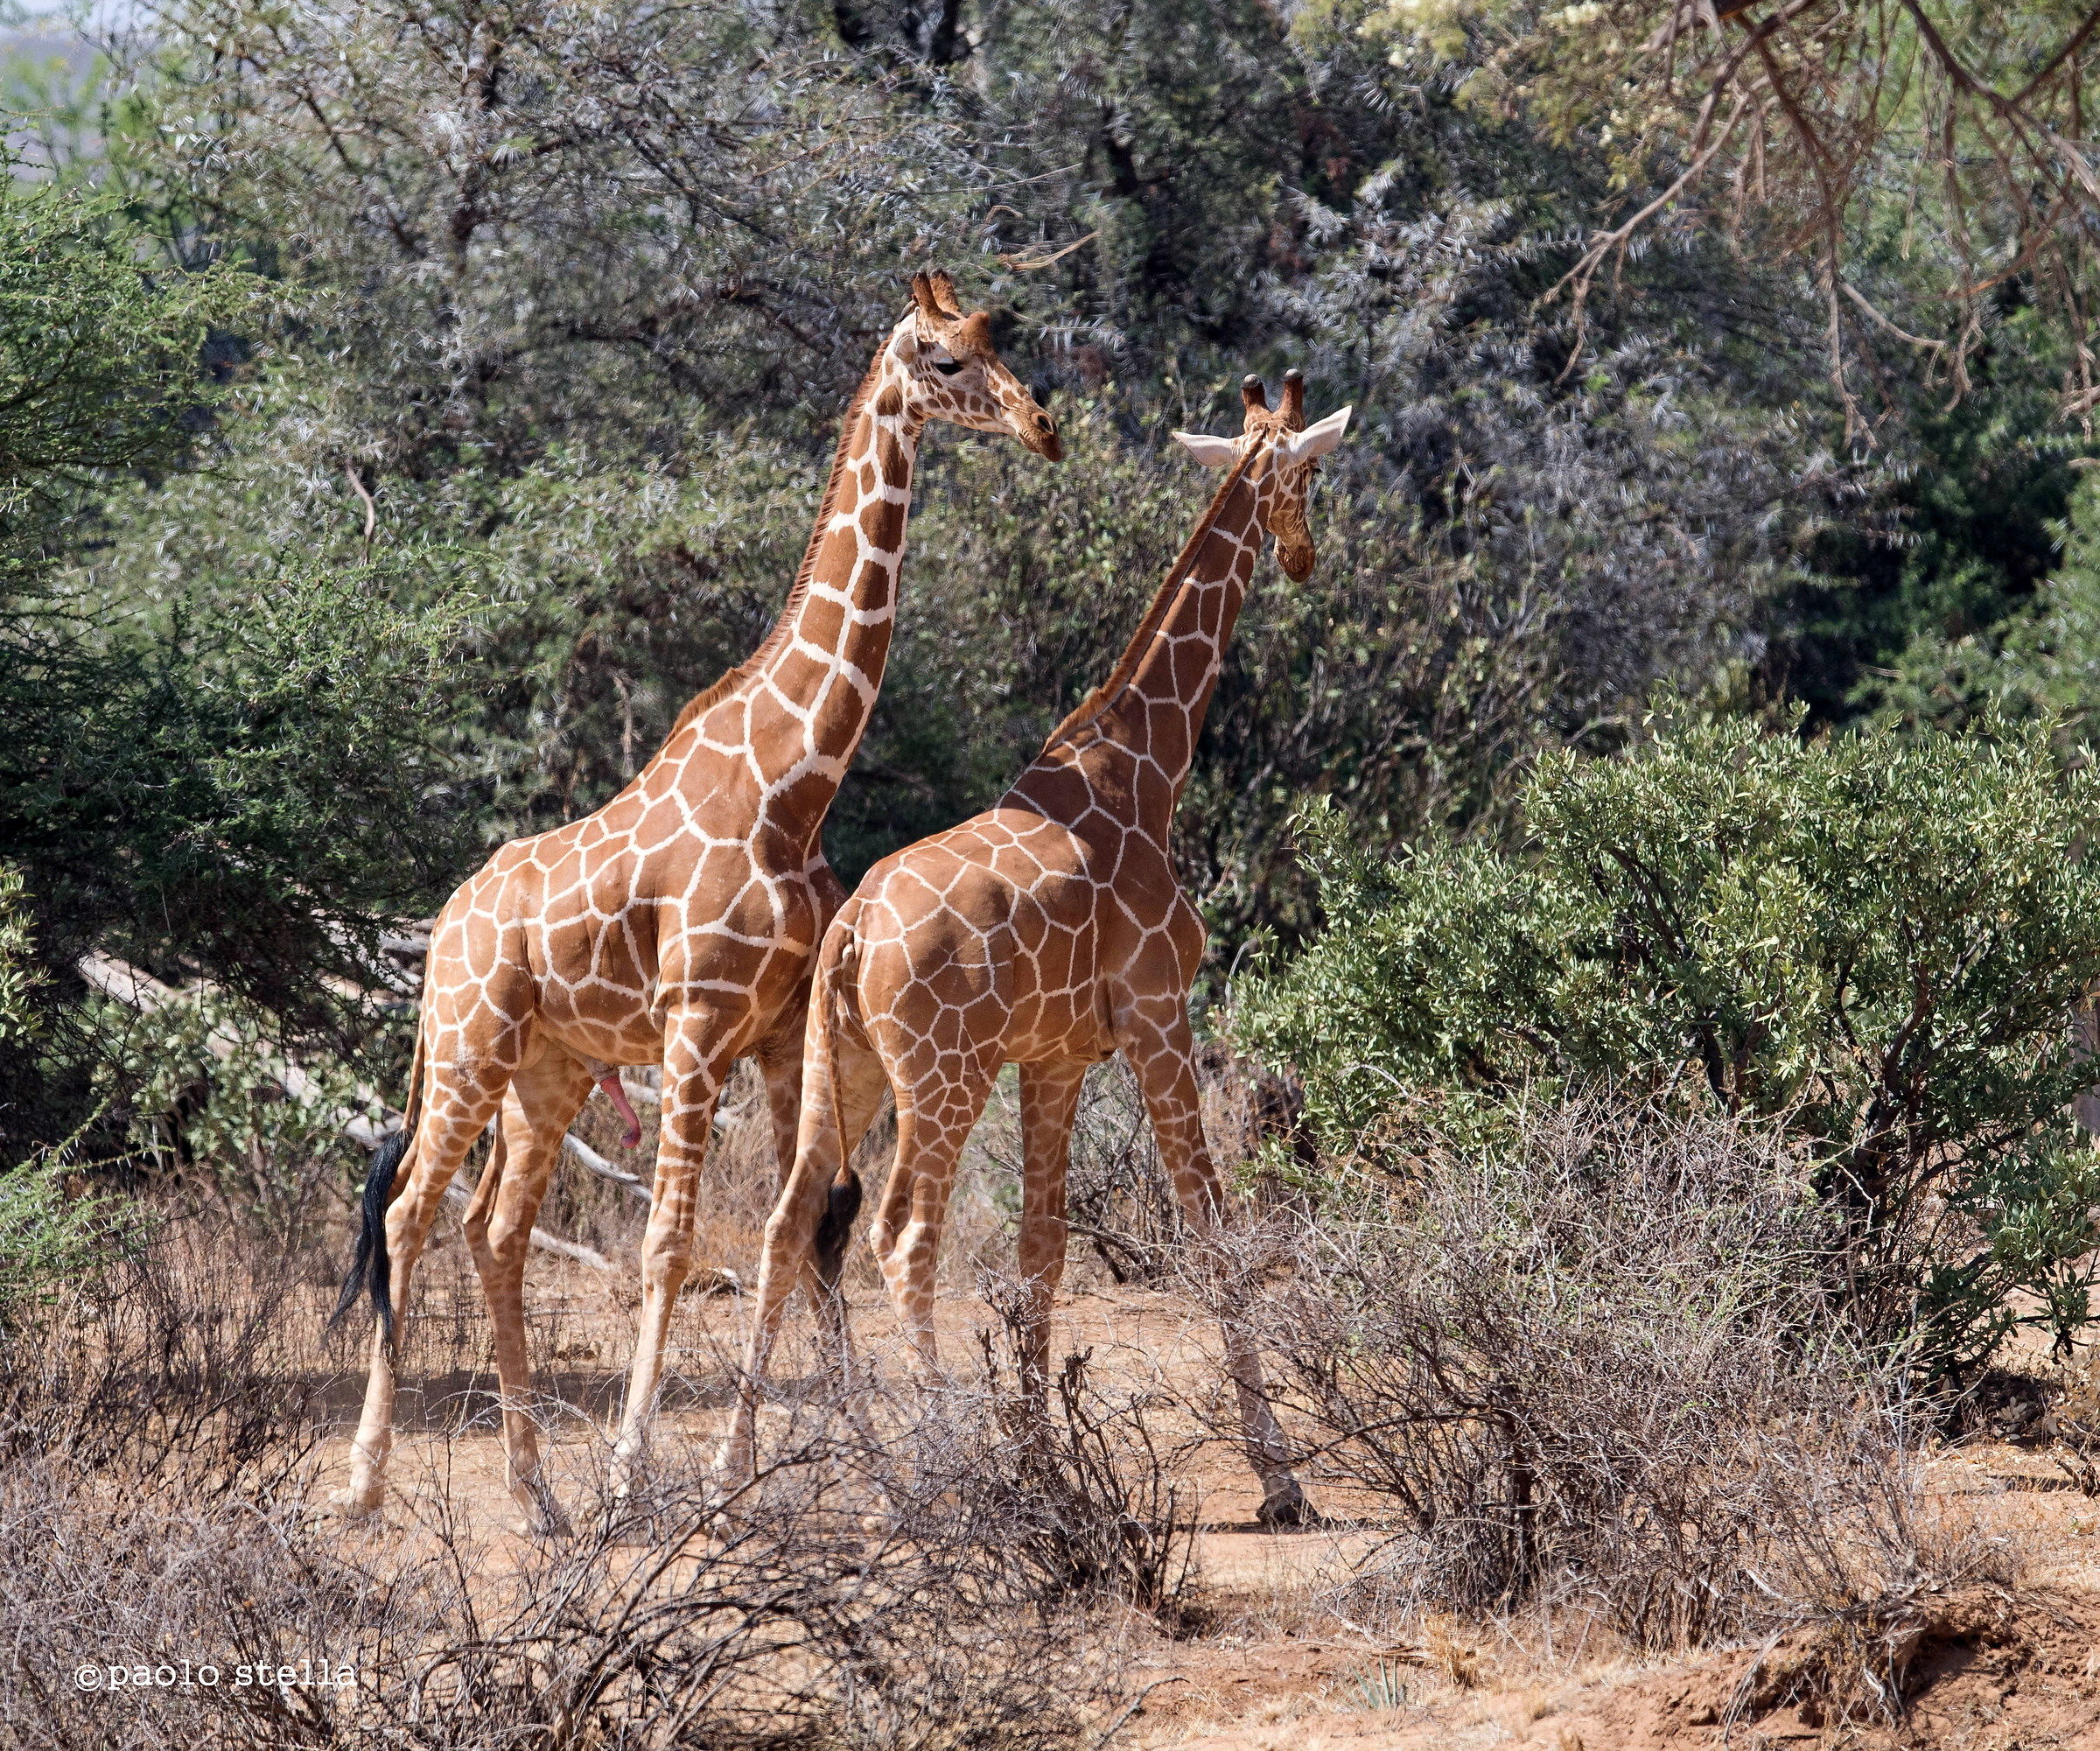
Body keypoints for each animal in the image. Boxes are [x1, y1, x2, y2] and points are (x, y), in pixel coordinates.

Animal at [328, 271, 1061, 1534]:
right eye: (944, 358)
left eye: (995, 338)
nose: (1042, 424)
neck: (793, 783)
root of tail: (445, 925)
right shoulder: (697, 1025)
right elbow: (670, 1246)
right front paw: (635, 1469)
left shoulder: (778, 1035)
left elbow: (807, 1227)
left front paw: (841, 1455)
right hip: (471, 1044)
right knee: (411, 1211)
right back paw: (371, 1484)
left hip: (549, 1066)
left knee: (496, 1229)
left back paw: (535, 1492)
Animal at [725, 370, 1350, 1527]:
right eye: (1311, 473)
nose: (1301, 555)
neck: (1145, 765)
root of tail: (852, 937)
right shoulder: (1158, 1018)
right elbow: (1210, 1230)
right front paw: (1279, 1478)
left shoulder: (1056, 1055)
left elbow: (1041, 1250)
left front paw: (1041, 1458)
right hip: (942, 1076)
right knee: (902, 1238)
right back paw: (938, 1475)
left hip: (847, 1067)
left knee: (788, 1224)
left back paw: (732, 1471)